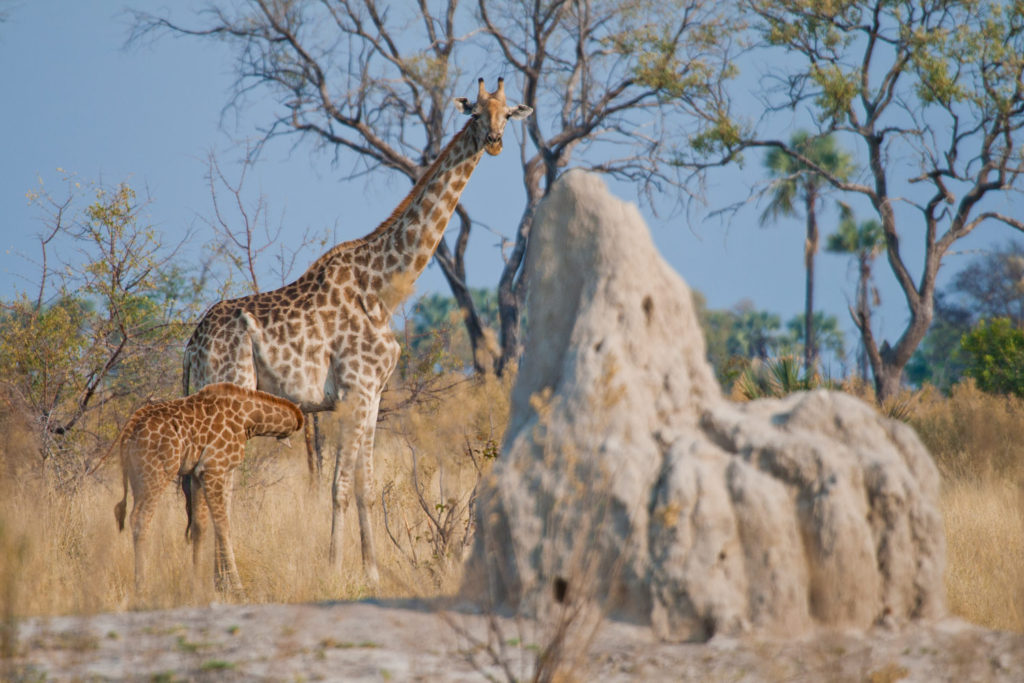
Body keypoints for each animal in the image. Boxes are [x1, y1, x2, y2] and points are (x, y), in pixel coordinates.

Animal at [114, 385, 303, 593]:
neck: (248, 418)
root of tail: (129, 430)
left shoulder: (197, 474)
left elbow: (199, 527)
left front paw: (196, 584)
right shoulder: (214, 468)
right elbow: (223, 526)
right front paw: (236, 588)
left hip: (136, 477)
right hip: (157, 473)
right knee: (140, 519)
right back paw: (141, 586)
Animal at [185, 78, 536, 581]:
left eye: (507, 114)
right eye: (474, 113)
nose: (494, 141)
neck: (382, 287)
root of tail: (190, 346)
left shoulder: (372, 395)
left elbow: (367, 486)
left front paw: (372, 569)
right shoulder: (355, 391)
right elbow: (340, 486)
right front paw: (335, 567)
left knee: (202, 485)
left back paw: (207, 575)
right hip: (231, 389)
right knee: (219, 482)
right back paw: (228, 579)